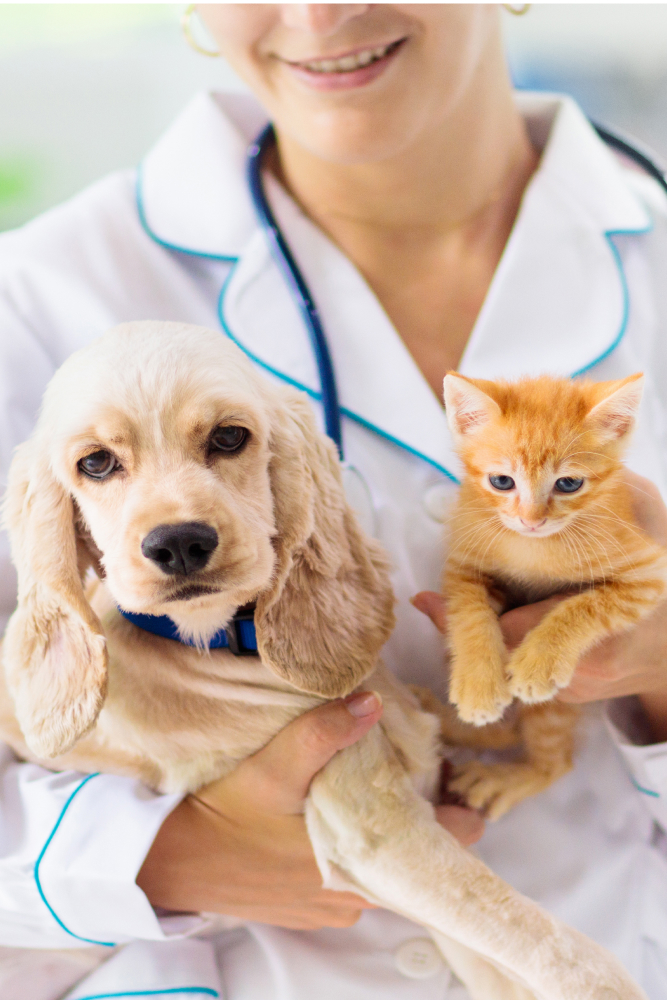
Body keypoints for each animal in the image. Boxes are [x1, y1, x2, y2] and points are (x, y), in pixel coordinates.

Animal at [440, 372, 664, 816]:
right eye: (501, 481)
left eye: (569, 484)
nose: (531, 521)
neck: (533, 548)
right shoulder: (463, 563)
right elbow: (469, 612)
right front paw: (478, 683)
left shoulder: (650, 573)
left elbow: (587, 605)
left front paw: (540, 661)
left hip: (556, 710)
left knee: (555, 762)